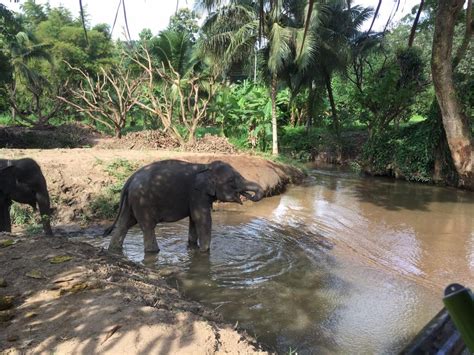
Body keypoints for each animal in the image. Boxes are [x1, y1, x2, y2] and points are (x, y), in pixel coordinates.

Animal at [104, 160, 264, 254]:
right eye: (232, 180)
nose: (252, 196)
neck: (206, 166)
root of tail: (130, 179)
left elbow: (194, 219)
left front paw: (193, 247)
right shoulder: (197, 193)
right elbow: (202, 219)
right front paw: (204, 251)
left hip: (132, 201)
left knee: (125, 224)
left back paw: (113, 249)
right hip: (142, 201)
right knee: (147, 227)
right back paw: (154, 251)